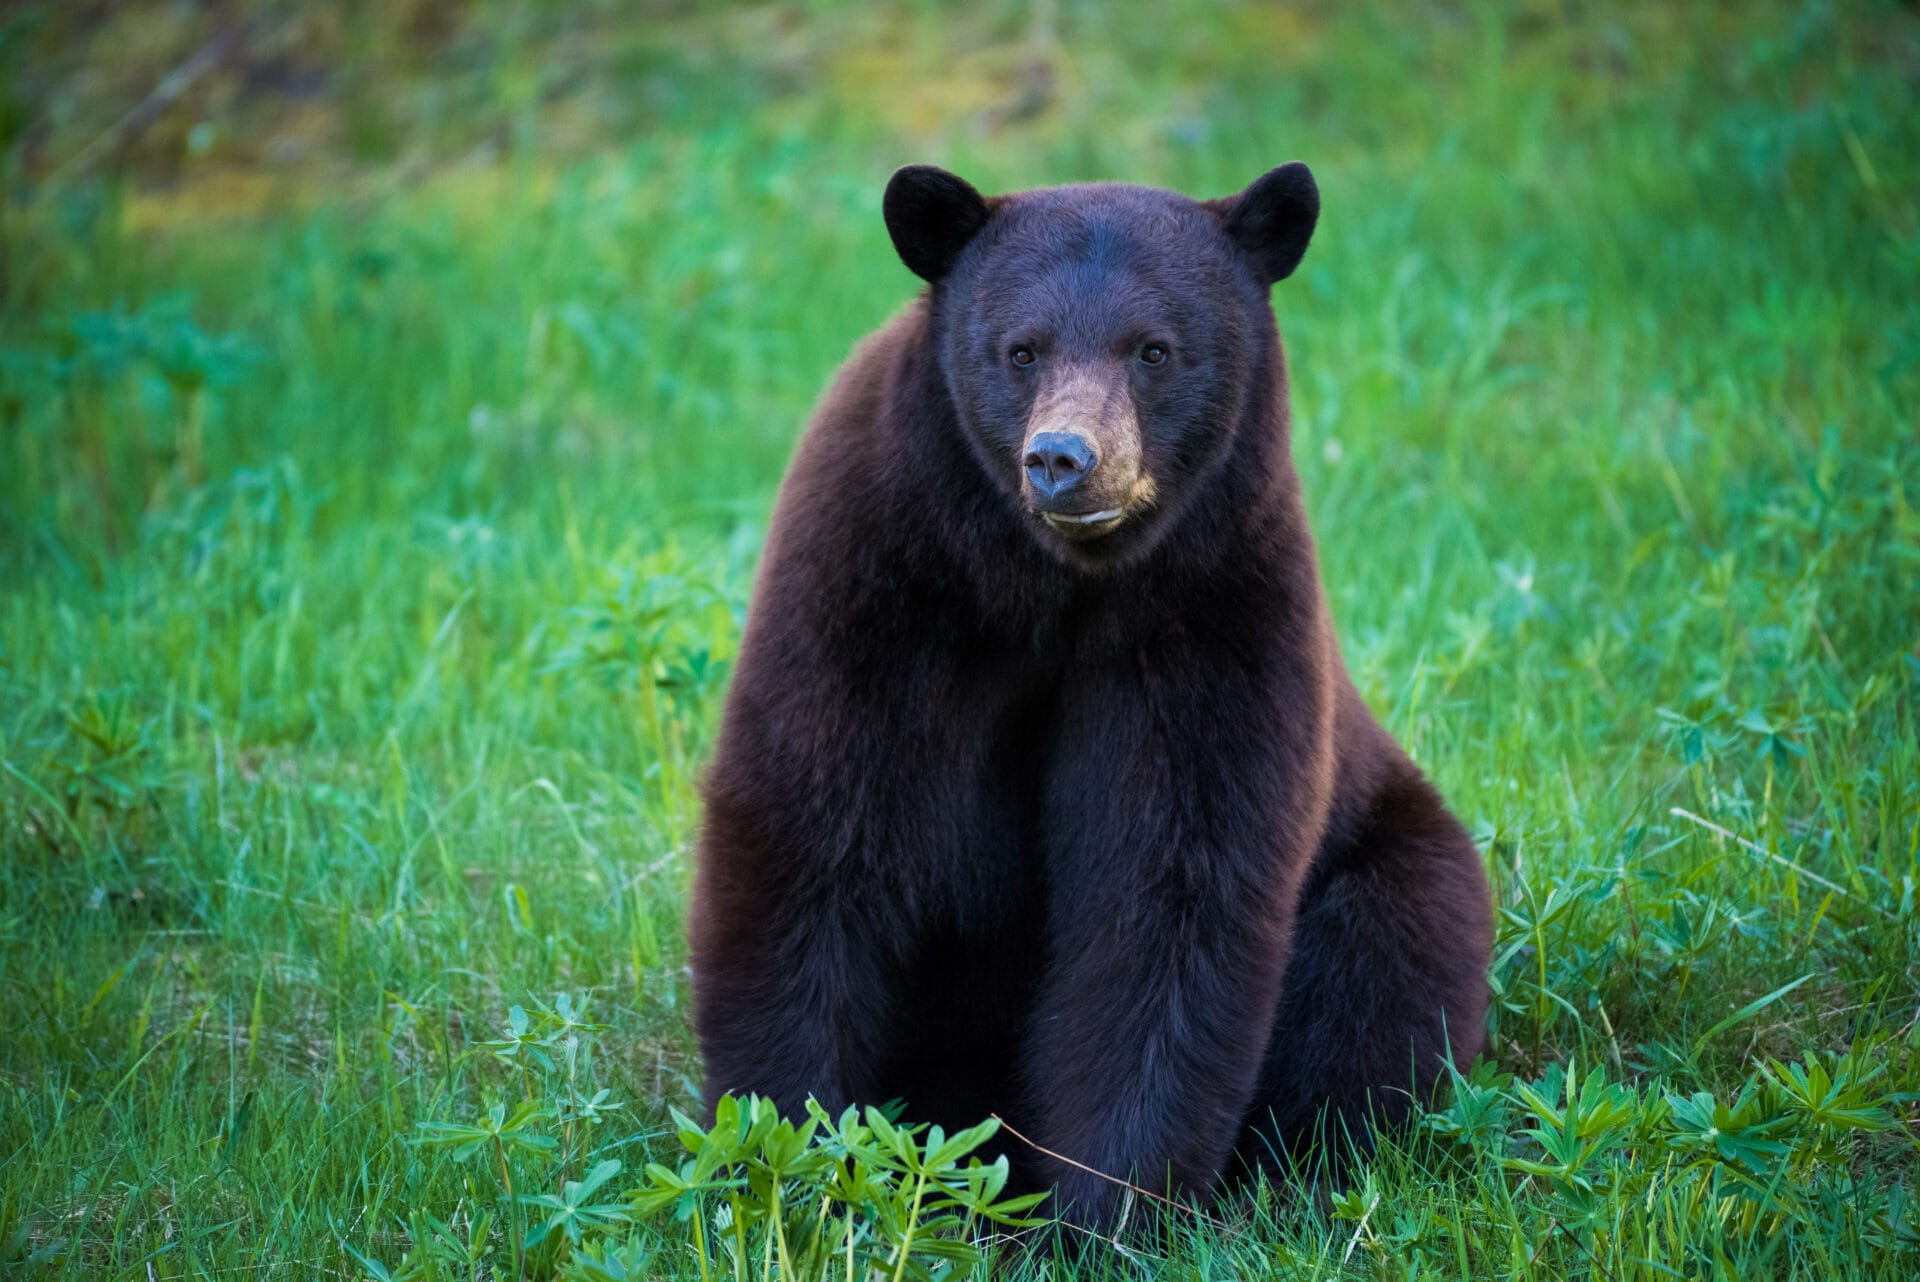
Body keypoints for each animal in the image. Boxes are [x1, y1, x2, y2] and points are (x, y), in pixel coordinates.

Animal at [691, 160, 1497, 1220]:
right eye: (1021, 350)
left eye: (1154, 350)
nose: (1066, 459)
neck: (1053, 590)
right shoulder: (877, 576)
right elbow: (812, 826)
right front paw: (787, 1164)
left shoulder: (1213, 611)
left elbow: (1172, 886)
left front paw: (1096, 1212)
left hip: (1399, 857)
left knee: (1386, 976)